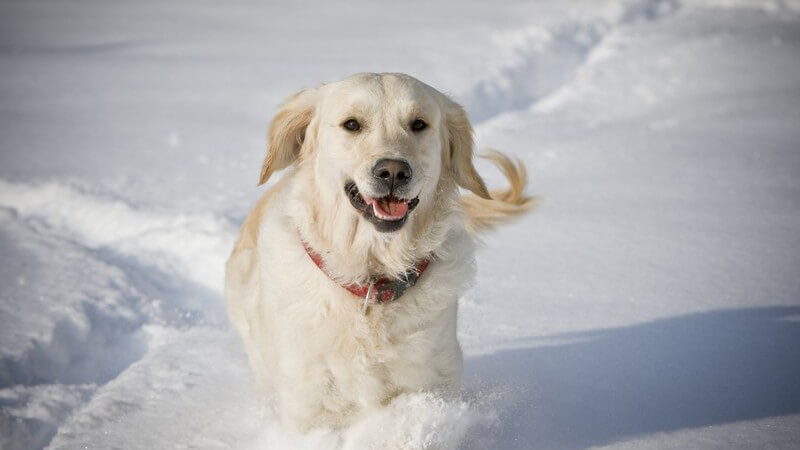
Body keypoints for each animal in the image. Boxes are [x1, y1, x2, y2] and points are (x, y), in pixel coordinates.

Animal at [225, 72, 536, 430]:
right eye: (351, 124)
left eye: (419, 124)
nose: (393, 171)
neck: (372, 275)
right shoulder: (310, 403)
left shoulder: (429, 381)